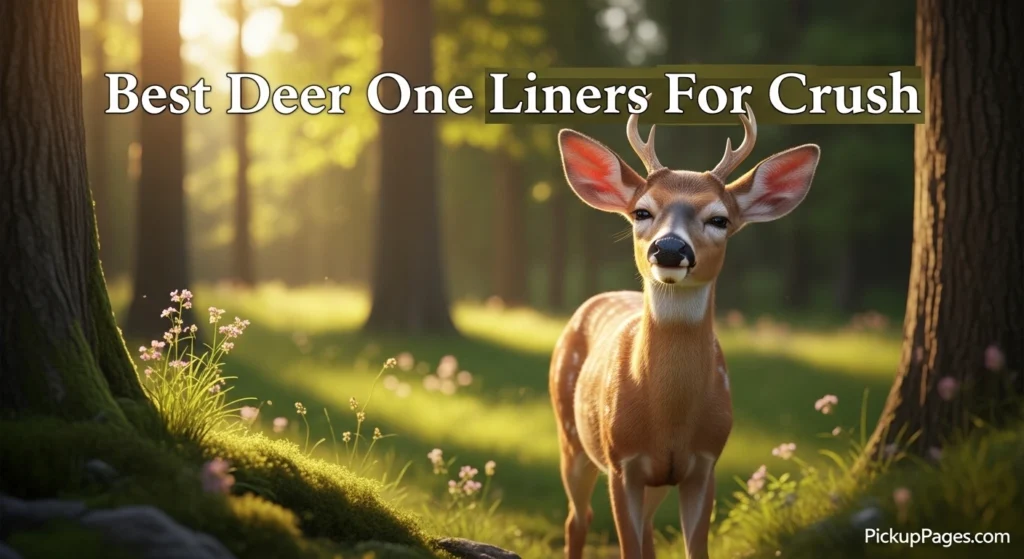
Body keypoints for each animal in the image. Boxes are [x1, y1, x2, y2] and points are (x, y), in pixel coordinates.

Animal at [549, 103, 820, 559]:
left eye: (719, 219)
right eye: (642, 211)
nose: (671, 248)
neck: (669, 417)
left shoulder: (704, 463)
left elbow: (695, 548)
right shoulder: (622, 462)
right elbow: (626, 548)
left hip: (653, 479)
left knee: (646, 530)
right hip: (571, 435)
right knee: (577, 518)